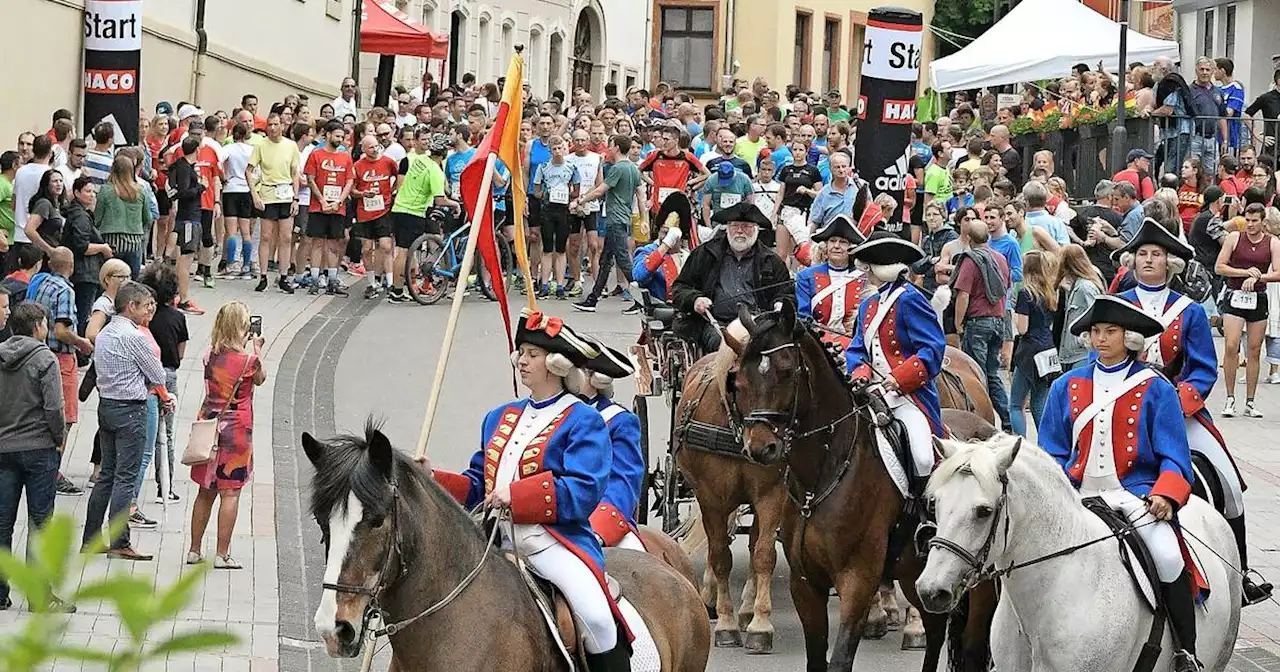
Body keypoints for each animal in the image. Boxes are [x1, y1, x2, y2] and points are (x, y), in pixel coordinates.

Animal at [721, 303, 988, 670]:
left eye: (787, 371)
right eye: (740, 379)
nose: (761, 448)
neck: (819, 478)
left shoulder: (857, 580)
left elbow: (840, 658)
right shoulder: (805, 583)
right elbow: (816, 659)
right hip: (914, 574)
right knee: (935, 630)